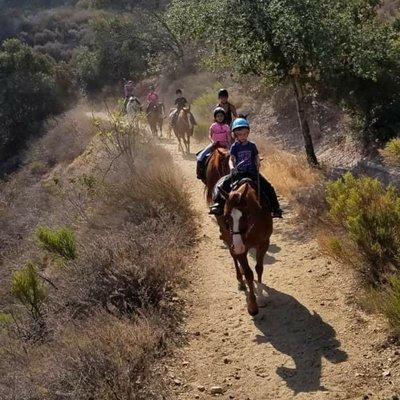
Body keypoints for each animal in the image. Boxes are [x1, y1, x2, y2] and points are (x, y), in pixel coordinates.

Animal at [217, 180, 274, 316]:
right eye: (226, 217)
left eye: (247, 215)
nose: (238, 246)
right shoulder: (239, 248)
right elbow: (249, 273)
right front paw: (252, 305)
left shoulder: (264, 243)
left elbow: (259, 268)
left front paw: (260, 298)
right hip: (229, 240)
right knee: (234, 256)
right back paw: (240, 280)